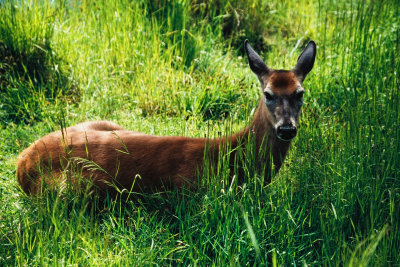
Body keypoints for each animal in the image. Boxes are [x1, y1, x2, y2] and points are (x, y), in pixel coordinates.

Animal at [16, 40, 316, 197]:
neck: (232, 156)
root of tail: (22, 160)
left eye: (300, 93)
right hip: (70, 188)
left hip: (106, 124)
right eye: (268, 94)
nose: (286, 128)